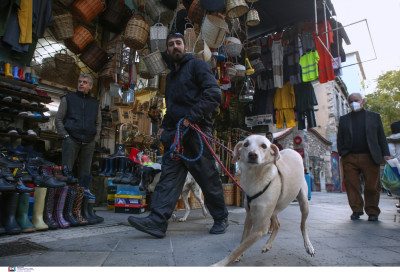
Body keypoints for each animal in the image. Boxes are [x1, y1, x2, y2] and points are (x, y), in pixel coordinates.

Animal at [212, 135, 316, 266]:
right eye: (246, 144)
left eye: (264, 146)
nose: (252, 154)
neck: (255, 177)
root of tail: (293, 151)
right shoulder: (249, 216)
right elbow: (242, 241)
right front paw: (239, 256)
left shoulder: (260, 228)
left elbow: (238, 248)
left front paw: (220, 264)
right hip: (273, 209)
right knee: (277, 224)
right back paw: (268, 245)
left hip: (303, 203)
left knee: (303, 226)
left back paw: (309, 246)